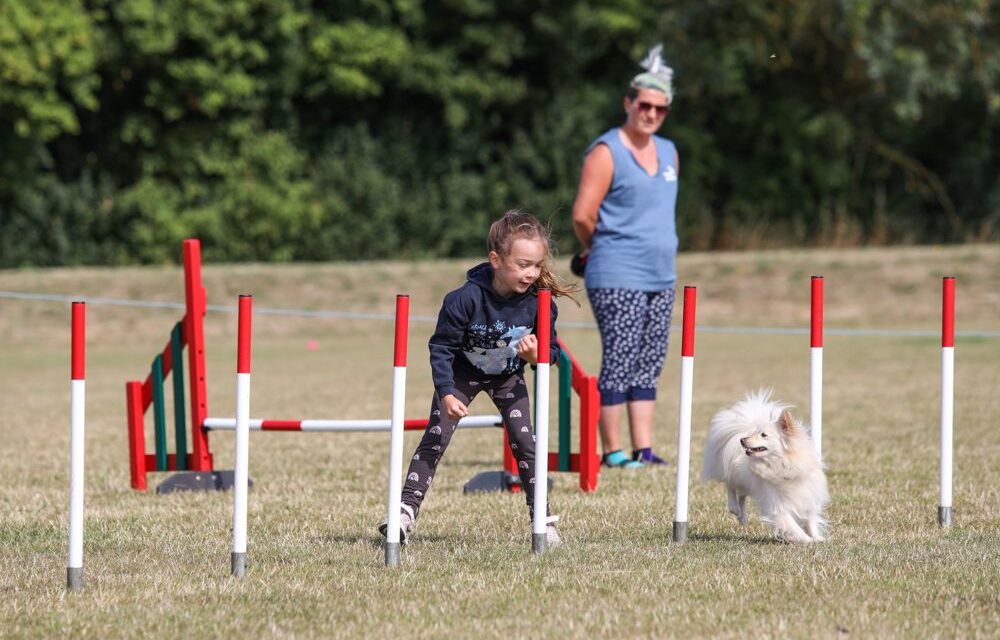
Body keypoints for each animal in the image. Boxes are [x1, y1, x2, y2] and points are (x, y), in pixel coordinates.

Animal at [700, 388, 832, 544]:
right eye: (756, 433)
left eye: (763, 435)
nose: (742, 440)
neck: (784, 464)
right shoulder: (777, 505)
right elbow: (792, 525)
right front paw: (807, 540)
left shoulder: (807, 495)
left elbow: (810, 518)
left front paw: (817, 537)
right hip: (735, 474)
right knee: (730, 485)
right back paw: (734, 507)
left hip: (748, 482)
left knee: (742, 495)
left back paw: (742, 516)